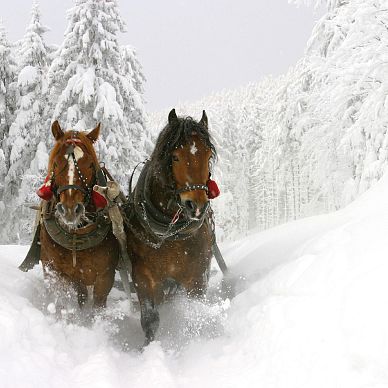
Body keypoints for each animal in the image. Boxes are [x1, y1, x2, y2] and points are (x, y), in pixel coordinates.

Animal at [39, 123, 119, 310]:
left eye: (90, 165)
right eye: (56, 163)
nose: (70, 209)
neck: (76, 235)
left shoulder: (105, 276)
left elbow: (98, 305)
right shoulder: (56, 271)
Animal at [126, 107, 218, 344]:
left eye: (208, 155)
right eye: (175, 157)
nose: (196, 206)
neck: (171, 234)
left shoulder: (197, 277)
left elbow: (194, 314)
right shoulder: (143, 276)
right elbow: (150, 320)